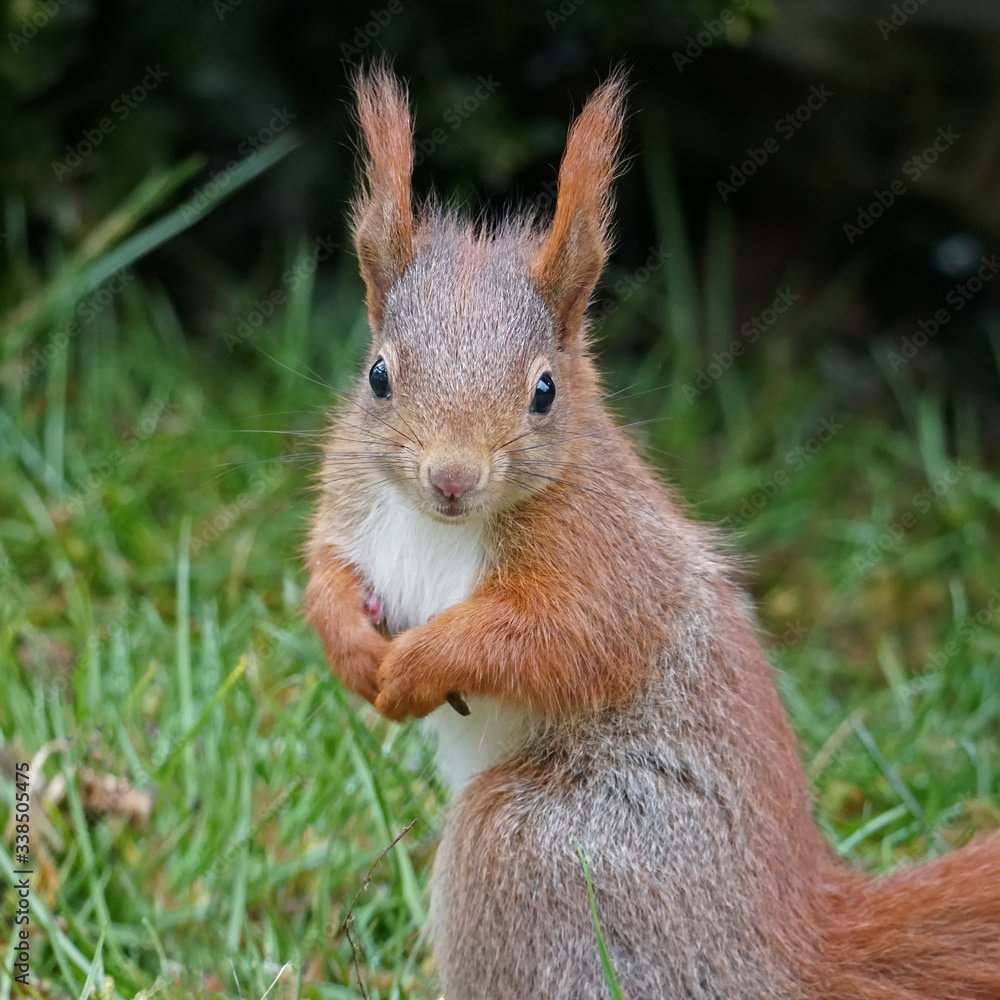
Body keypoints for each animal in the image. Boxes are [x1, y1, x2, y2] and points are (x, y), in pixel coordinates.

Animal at [304, 65, 1000, 999]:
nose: (452, 477)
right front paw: (351, 645)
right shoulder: (351, 504)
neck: (440, 525)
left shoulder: (607, 559)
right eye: (378, 374)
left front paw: (420, 663)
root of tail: (788, 945)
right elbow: (323, 572)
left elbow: (561, 640)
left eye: (545, 391)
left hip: (534, 846)